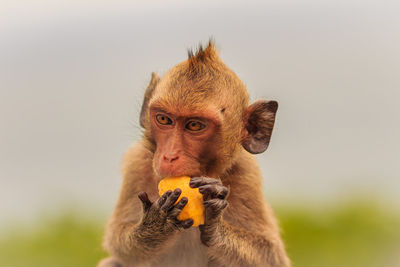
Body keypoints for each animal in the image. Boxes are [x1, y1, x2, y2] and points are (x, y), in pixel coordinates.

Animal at [98, 40, 290, 266]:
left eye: (194, 125)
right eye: (164, 119)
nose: (169, 156)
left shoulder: (247, 173)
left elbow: (271, 255)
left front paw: (215, 222)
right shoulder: (138, 163)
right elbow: (119, 244)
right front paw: (155, 224)